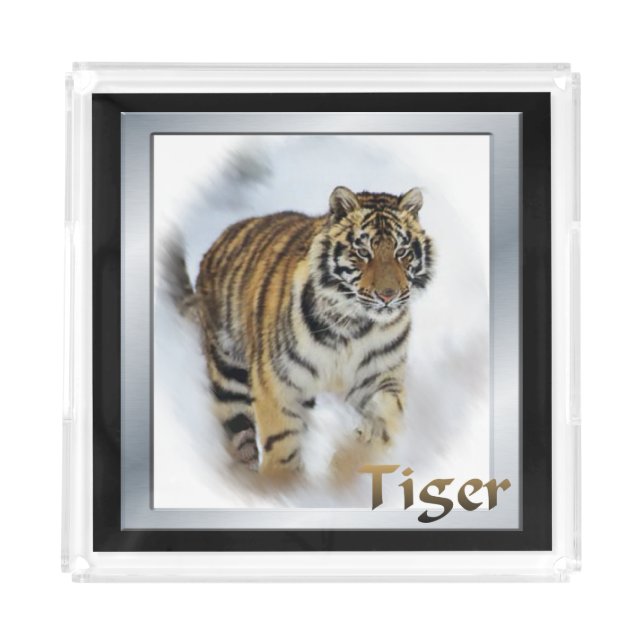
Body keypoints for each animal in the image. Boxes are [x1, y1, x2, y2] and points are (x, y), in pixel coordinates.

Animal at [171, 186, 433, 476]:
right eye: (363, 252)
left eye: (402, 251)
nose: (388, 295)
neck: (354, 326)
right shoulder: (279, 383)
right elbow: (282, 441)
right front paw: (282, 480)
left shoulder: (380, 377)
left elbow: (386, 416)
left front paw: (352, 457)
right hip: (229, 374)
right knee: (240, 438)